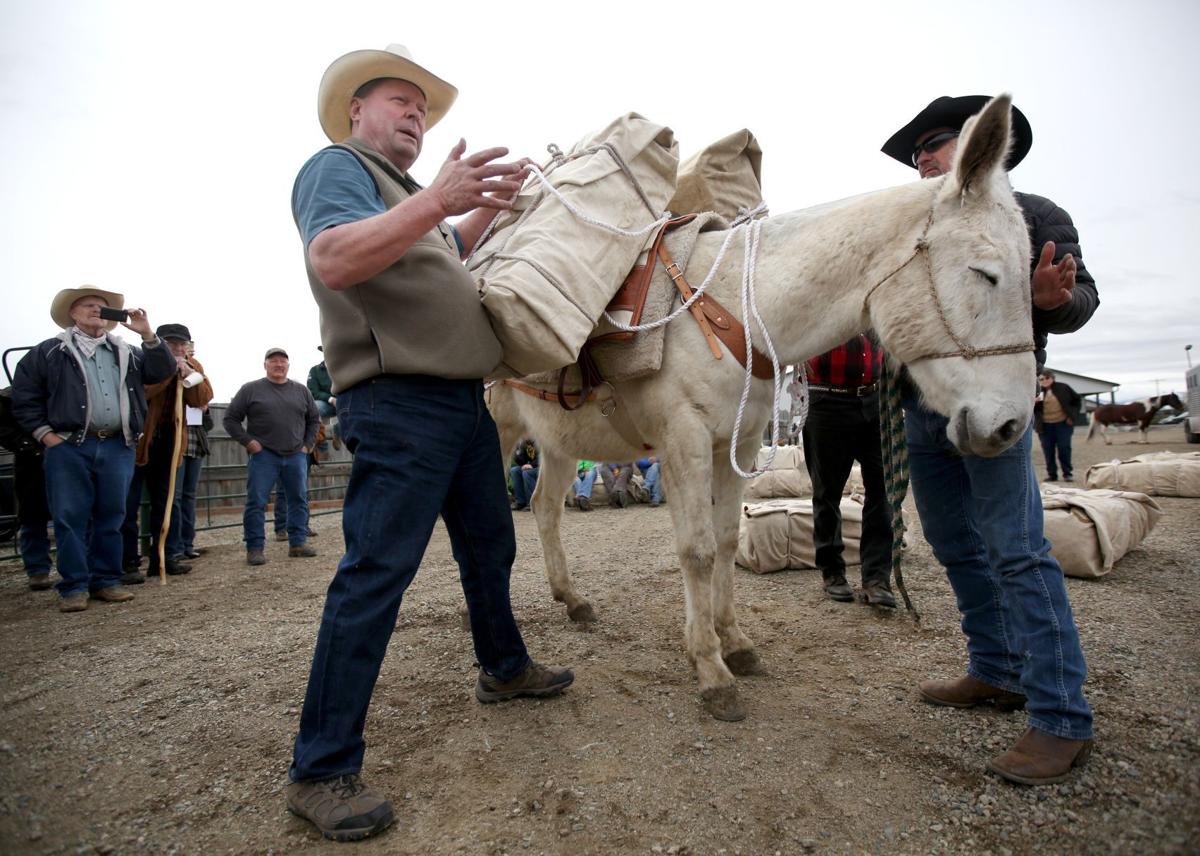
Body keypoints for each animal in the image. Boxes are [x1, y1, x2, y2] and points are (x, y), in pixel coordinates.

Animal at [487, 95, 1036, 722]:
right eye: (986, 273)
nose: (1011, 425)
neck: (737, 306)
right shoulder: (684, 442)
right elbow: (697, 550)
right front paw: (710, 670)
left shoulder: (741, 442)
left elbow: (727, 541)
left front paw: (735, 643)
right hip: (498, 429)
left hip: (556, 441)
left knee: (544, 508)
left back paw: (573, 600)